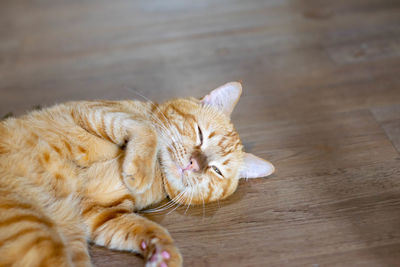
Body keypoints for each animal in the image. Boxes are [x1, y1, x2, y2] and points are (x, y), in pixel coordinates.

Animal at [0, 82, 274, 266]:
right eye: (200, 134)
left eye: (216, 170)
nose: (194, 164)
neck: (158, 172)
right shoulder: (95, 111)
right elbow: (146, 130)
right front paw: (137, 170)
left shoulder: (103, 214)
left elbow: (147, 229)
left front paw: (162, 252)